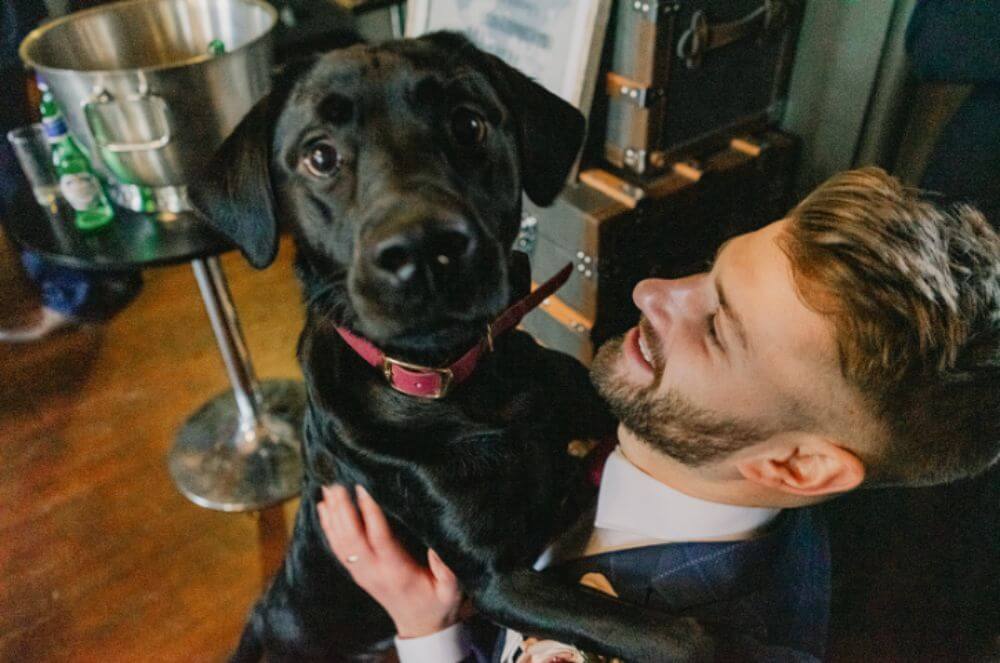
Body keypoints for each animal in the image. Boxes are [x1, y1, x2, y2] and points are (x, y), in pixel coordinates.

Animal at [193, 31, 712, 663]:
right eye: (319, 156)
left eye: (468, 124)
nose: (423, 248)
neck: (461, 381)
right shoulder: (497, 579)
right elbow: (677, 635)